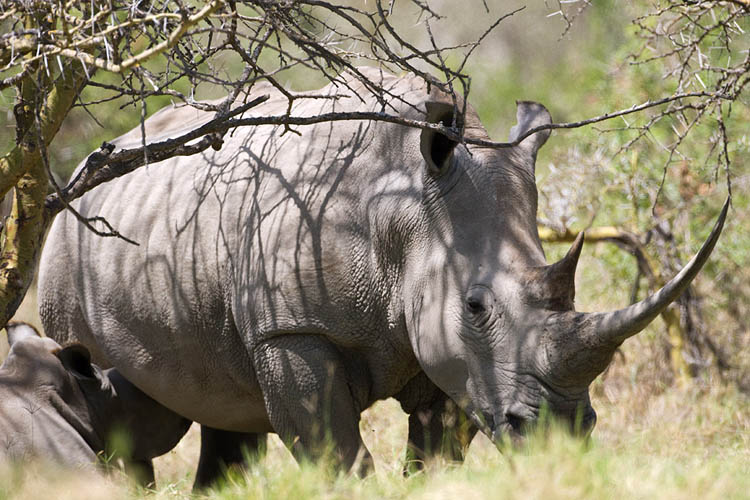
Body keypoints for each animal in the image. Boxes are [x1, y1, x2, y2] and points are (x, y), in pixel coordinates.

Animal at [37, 67, 727, 483]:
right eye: (477, 306)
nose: (561, 432)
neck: (404, 211)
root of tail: (75, 180)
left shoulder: (445, 348)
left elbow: (436, 454)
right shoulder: (292, 329)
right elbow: (336, 454)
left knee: (222, 417)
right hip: (68, 255)